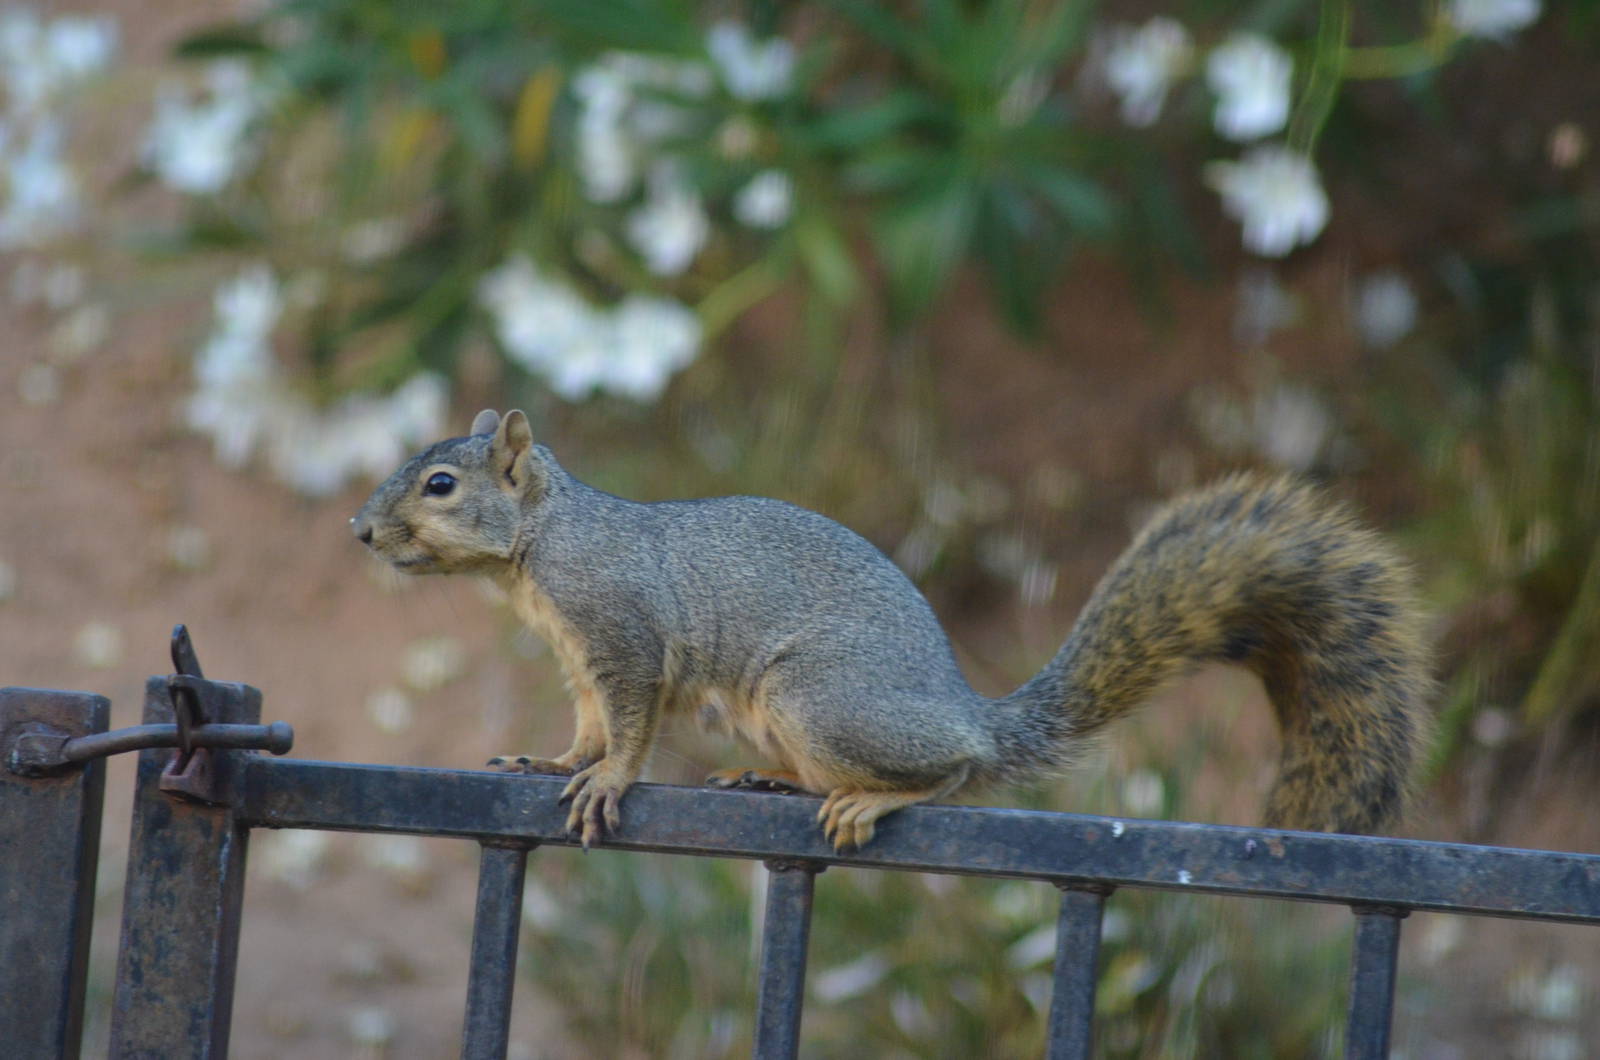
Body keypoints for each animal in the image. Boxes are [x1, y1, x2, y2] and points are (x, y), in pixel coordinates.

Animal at [352, 408, 1432, 851]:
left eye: (439, 484)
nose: (361, 530)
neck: (540, 548)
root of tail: (965, 705)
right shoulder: (582, 662)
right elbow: (584, 725)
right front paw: (552, 762)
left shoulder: (621, 635)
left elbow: (628, 726)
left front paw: (610, 783)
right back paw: (780, 782)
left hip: (819, 697)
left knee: (955, 768)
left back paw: (875, 798)